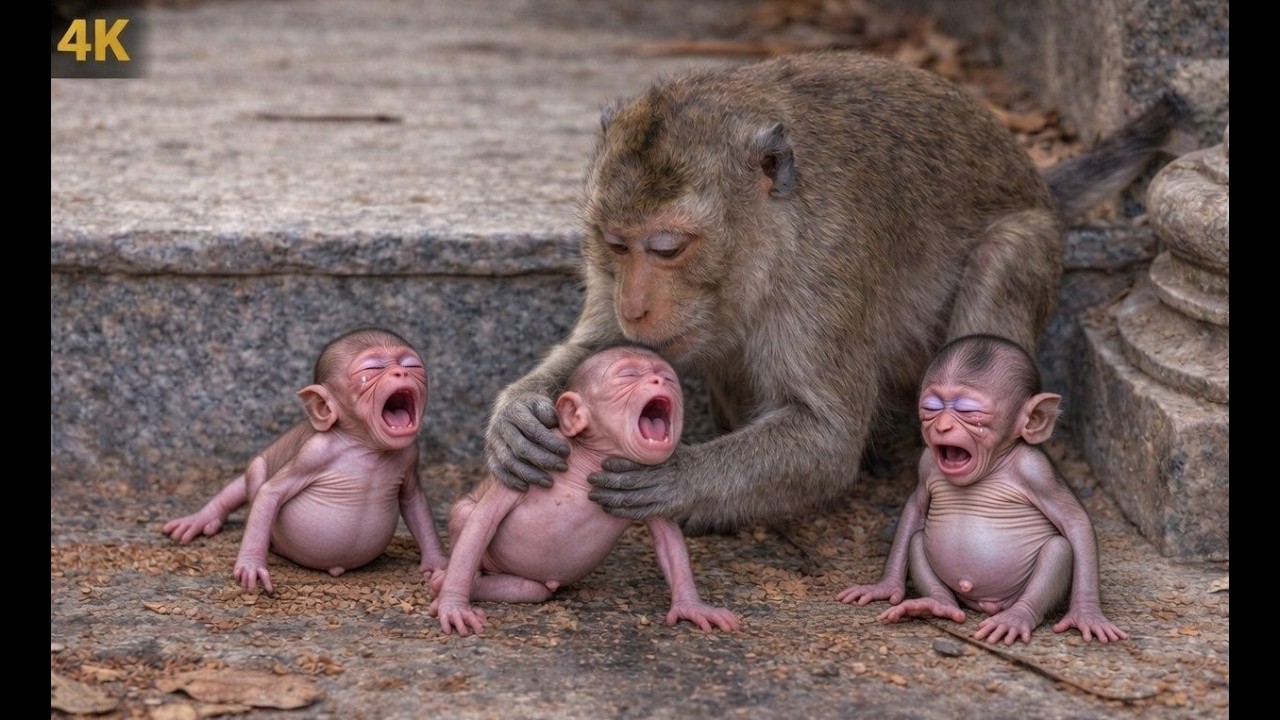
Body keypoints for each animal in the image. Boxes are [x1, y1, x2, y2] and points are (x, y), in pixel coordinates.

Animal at [162, 327, 448, 593]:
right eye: (373, 369)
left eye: (411, 365)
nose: (401, 373)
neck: (367, 446)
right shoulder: (314, 452)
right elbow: (269, 493)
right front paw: (251, 565)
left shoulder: (410, 454)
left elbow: (414, 501)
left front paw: (437, 563)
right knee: (252, 476)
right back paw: (202, 519)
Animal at [431, 344, 740, 636]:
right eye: (628, 375)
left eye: (667, 377)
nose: (658, 381)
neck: (589, 464)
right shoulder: (530, 466)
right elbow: (483, 522)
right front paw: (454, 605)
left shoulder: (641, 486)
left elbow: (670, 542)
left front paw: (692, 606)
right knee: (467, 517)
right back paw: (447, 580)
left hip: (531, 583)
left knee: (530, 589)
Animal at [484, 51, 1177, 533]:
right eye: (615, 243)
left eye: (667, 248)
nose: (635, 303)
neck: (768, 239)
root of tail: (1034, 174)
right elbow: (601, 348)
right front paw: (517, 417)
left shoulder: (824, 269)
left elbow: (827, 436)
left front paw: (678, 481)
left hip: (1033, 238)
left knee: (1002, 259)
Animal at [837, 334, 1126, 645]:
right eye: (931, 409)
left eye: (969, 412)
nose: (942, 427)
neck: (992, 465)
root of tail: (986, 604)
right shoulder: (926, 464)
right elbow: (914, 510)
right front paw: (885, 586)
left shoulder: (1036, 471)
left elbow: (1076, 523)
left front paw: (1087, 614)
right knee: (916, 540)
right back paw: (936, 603)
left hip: (1016, 590)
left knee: (1059, 548)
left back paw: (1016, 617)